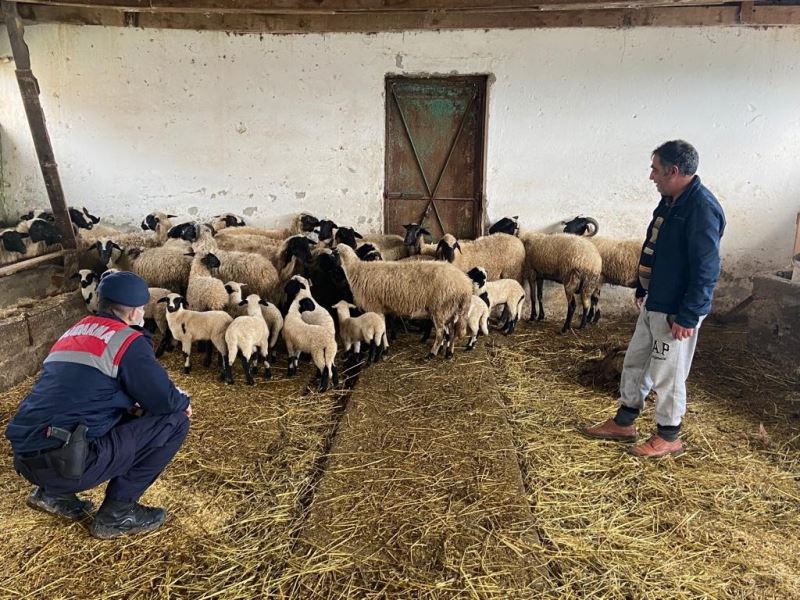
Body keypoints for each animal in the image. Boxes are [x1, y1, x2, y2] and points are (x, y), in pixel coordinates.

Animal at [332, 243, 472, 358]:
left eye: (333, 254)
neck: (356, 270)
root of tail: (465, 284)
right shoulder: (381, 309)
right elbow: (383, 330)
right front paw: (385, 348)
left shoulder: (375, 308)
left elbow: (382, 331)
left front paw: (384, 350)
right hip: (450, 309)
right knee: (452, 332)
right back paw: (449, 353)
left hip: (440, 308)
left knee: (440, 334)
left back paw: (431, 354)